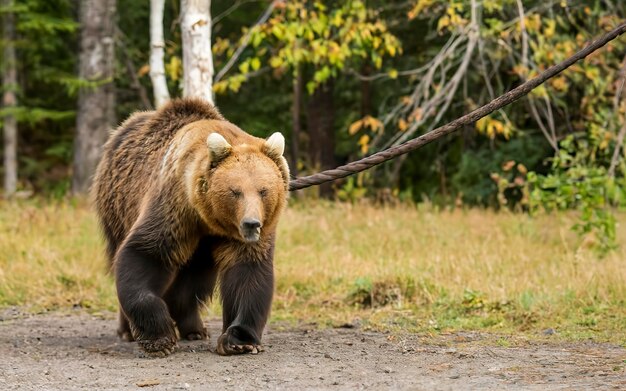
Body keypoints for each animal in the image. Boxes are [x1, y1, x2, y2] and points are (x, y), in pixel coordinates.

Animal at [91, 99, 288, 358]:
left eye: (263, 190)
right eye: (235, 191)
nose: (251, 224)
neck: (208, 218)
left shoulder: (237, 237)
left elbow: (247, 272)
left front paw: (239, 339)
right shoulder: (175, 207)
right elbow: (145, 253)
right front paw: (160, 338)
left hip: (200, 249)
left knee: (194, 278)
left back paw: (194, 328)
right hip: (117, 204)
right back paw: (127, 331)